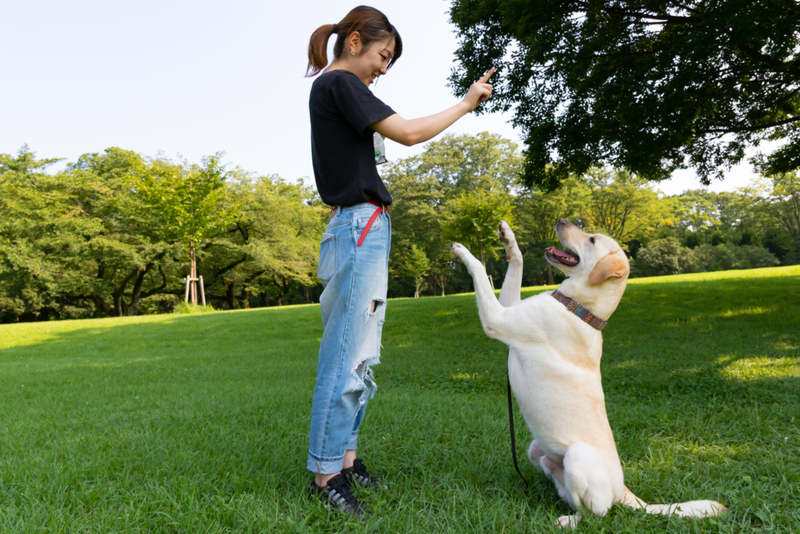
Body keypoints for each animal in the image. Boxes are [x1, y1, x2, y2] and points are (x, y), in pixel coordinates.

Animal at [450, 220, 724, 528]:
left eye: (592, 239)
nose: (561, 221)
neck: (579, 308)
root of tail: (624, 491)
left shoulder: (497, 319)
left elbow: (480, 272)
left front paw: (463, 252)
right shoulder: (509, 307)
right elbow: (516, 266)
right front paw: (508, 239)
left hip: (579, 457)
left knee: (598, 515)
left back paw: (567, 521)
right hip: (535, 448)